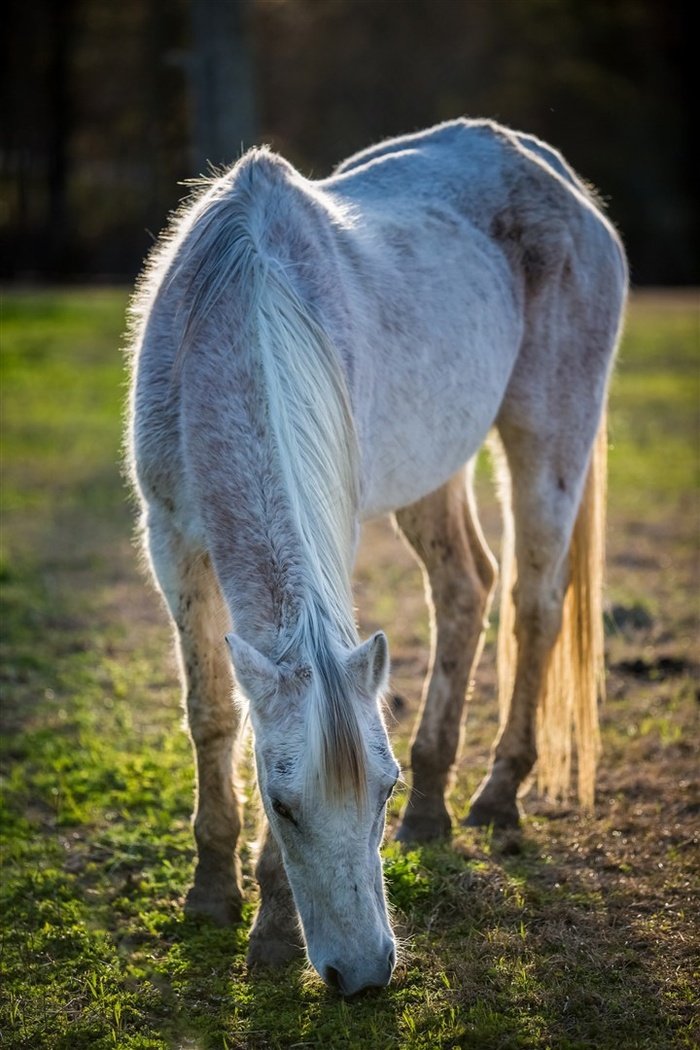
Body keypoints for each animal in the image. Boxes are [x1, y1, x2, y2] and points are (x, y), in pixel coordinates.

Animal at [127, 120, 629, 991]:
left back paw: (497, 795)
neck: (233, 310)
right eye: (283, 805)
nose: (361, 975)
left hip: (550, 440)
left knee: (532, 604)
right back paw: (436, 808)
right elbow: (211, 714)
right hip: (433, 470)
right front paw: (211, 894)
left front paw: (270, 929)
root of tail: (553, 173)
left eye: (378, 793)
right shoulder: (172, 541)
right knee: (467, 588)